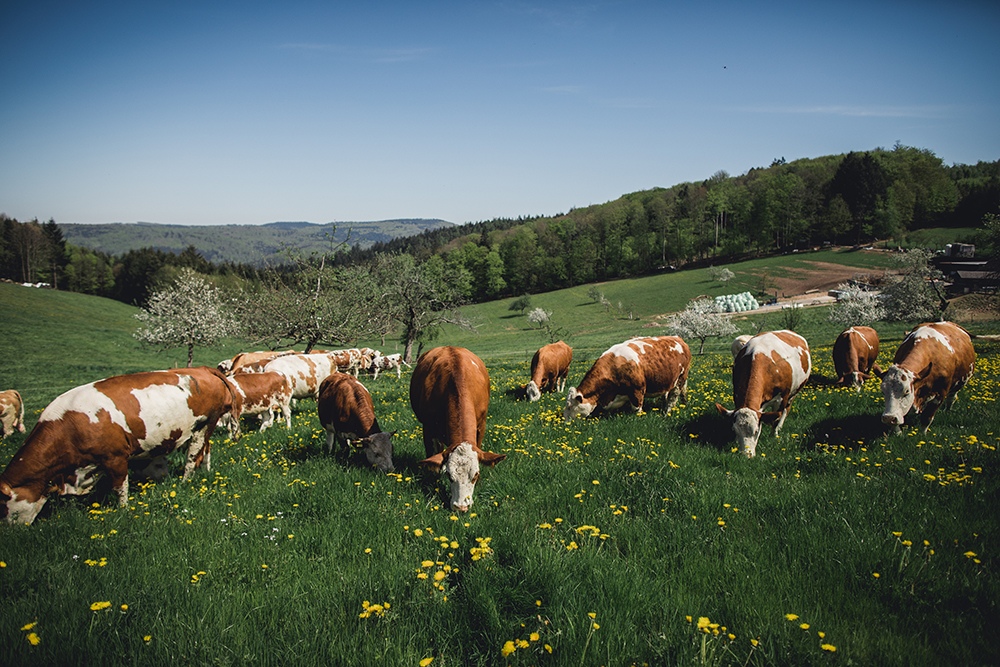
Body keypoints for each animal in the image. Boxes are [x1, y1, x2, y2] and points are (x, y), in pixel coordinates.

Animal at [0, 367, 240, 525]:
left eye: (4, 504)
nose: (12, 531)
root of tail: (202, 369)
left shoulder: (115, 457)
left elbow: (119, 488)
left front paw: (123, 511)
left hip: (203, 425)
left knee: (193, 458)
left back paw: (184, 481)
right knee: (206, 451)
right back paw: (205, 473)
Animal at [409, 346, 506, 512]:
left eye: (475, 475)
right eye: (449, 476)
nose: (461, 507)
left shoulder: (481, 425)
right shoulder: (427, 428)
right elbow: (431, 457)